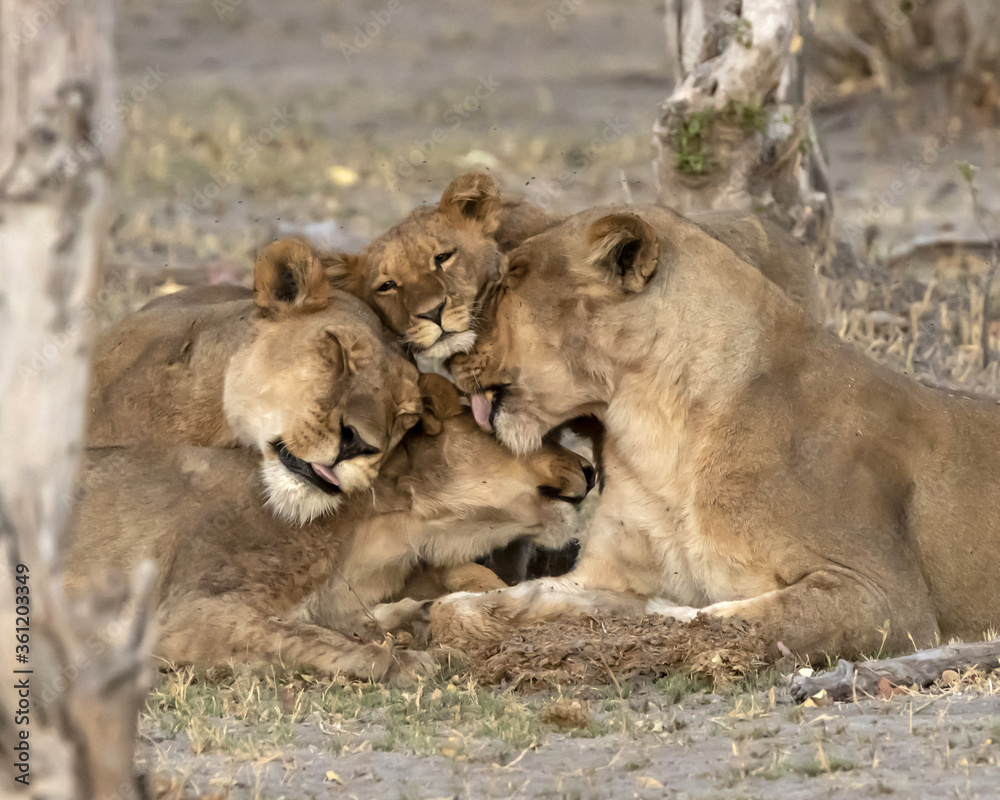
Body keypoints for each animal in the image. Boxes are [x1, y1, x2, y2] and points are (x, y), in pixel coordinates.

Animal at [66, 376, 592, 685]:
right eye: (531, 435)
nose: (590, 469)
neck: (391, 527)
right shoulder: (186, 614)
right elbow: (308, 637)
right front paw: (402, 660)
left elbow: (343, 622)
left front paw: (414, 617)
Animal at [439, 204, 1000, 662]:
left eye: (512, 279)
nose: (449, 358)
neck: (658, 426)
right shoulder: (606, 570)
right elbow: (495, 601)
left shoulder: (888, 599)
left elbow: (736, 618)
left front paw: (649, 619)